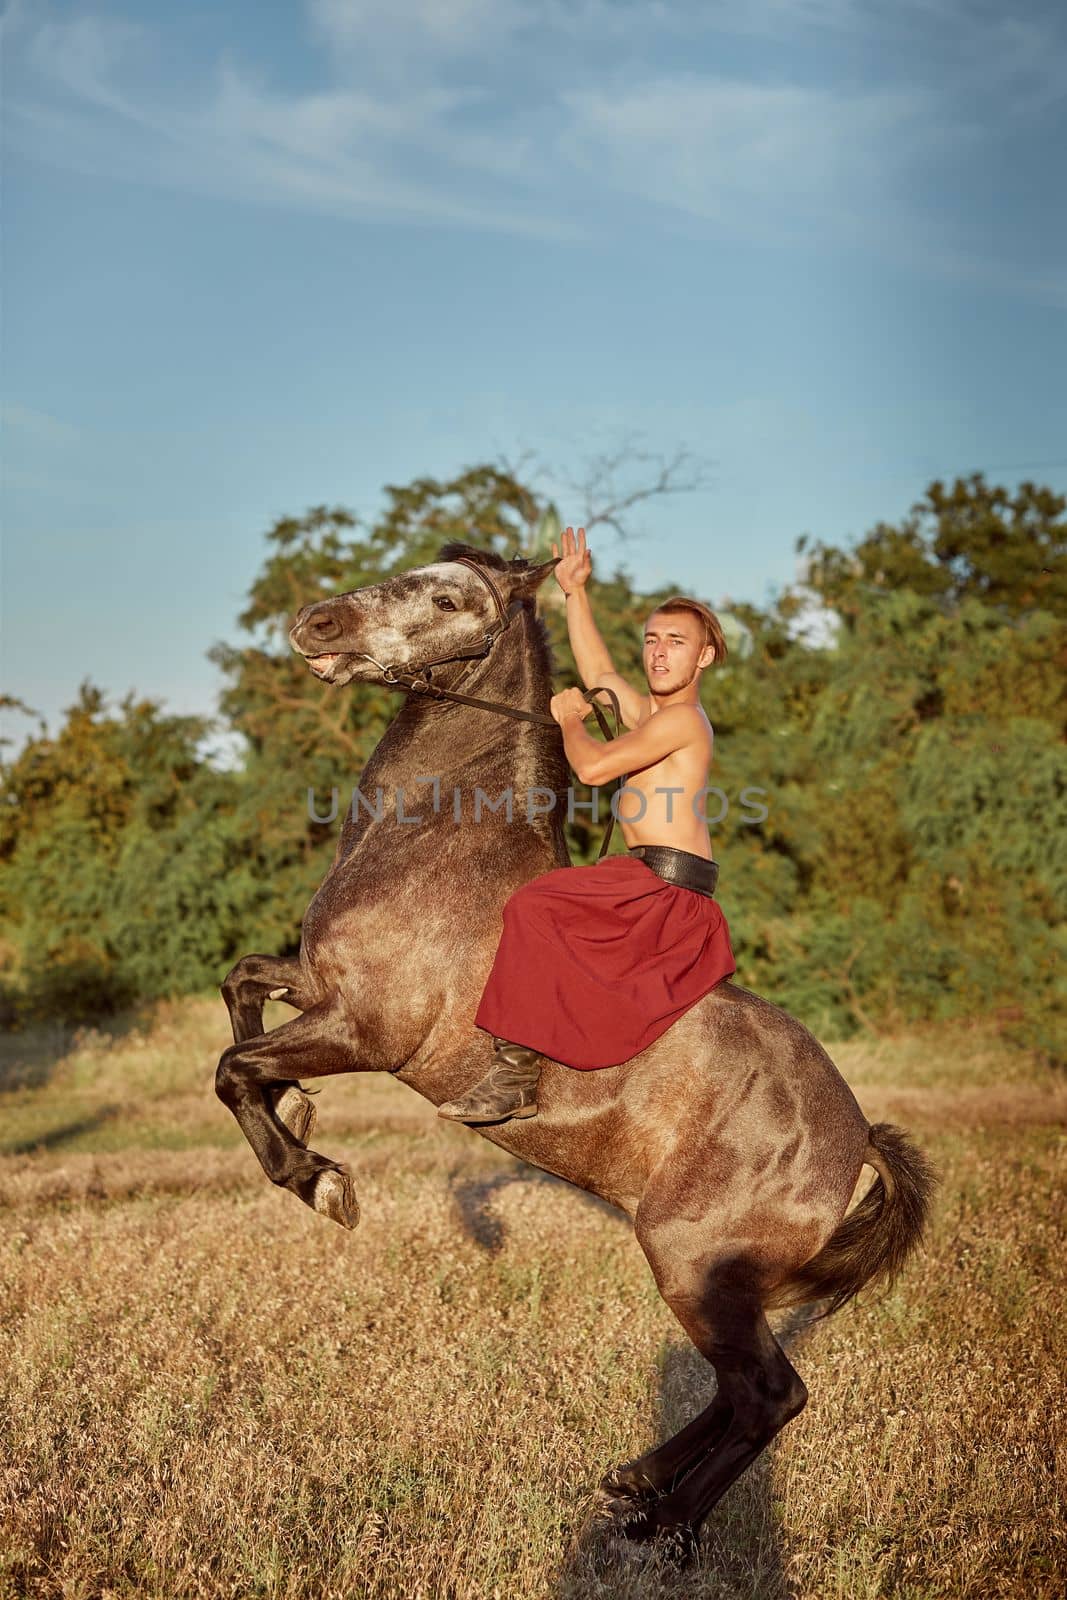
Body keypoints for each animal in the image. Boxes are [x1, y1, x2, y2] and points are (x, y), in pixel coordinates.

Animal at [217, 544, 934, 1555]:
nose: (316, 622)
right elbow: (240, 987)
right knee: (741, 1391)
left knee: (769, 1394)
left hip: (692, 1261)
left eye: (448, 597)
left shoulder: (364, 1029)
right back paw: (636, 1482)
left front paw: (317, 1179)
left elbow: (232, 1069)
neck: (435, 846)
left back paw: (664, 1524)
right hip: (709, 1275)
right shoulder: (313, 985)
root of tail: (855, 1135)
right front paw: (300, 1119)